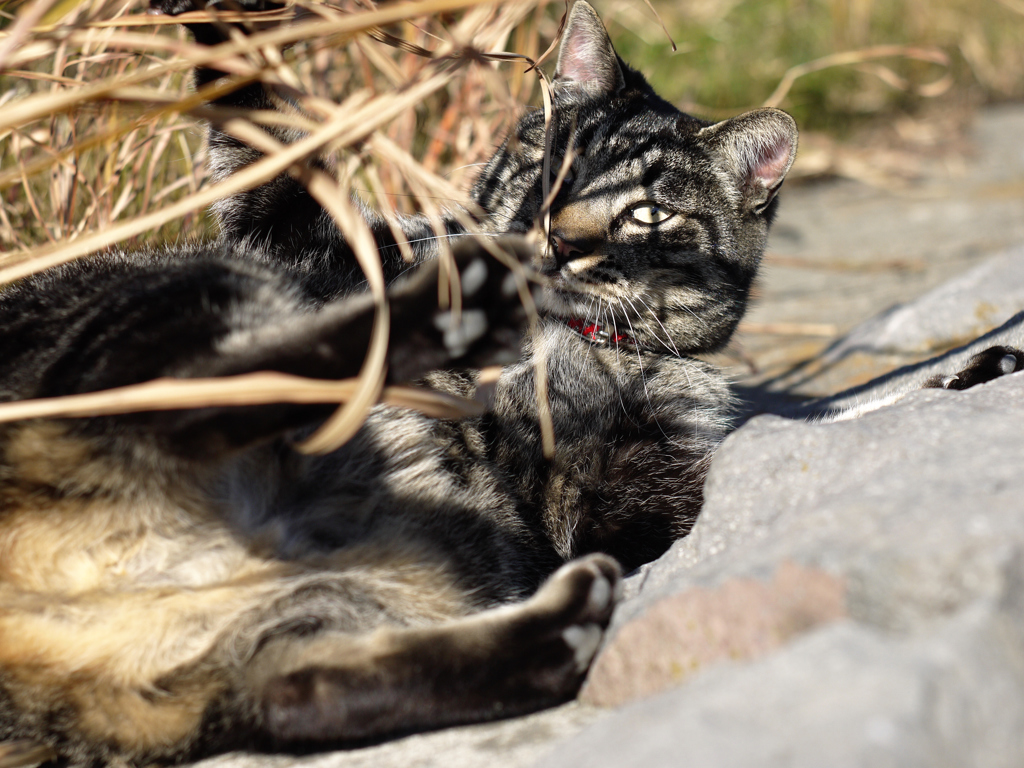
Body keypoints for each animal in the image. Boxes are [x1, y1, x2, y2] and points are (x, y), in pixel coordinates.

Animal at [0, 3, 798, 765]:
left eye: (648, 213)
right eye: (555, 167)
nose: (558, 240)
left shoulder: (640, 487)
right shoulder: (290, 228)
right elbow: (266, 126)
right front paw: (227, 22)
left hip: (294, 605)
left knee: (306, 685)